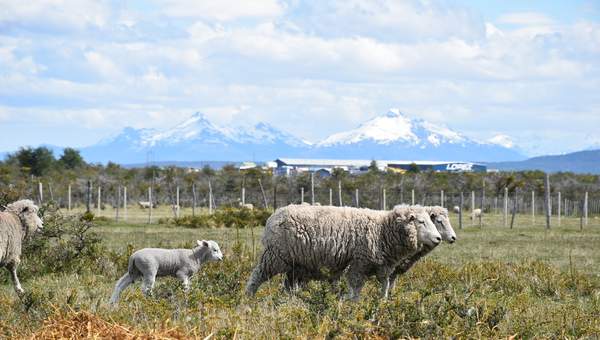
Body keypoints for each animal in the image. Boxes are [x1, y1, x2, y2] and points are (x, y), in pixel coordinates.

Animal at [245, 203, 440, 298]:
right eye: (421, 222)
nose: (438, 238)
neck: (383, 229)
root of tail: (274, 215)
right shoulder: (358, 265)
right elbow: (355, 290)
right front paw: (352, 306)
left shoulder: (383, 267)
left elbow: (384, 288)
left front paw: (381, 305)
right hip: (275, 256)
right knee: (257, 276)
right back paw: (248, 299)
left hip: (296, 265)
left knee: (288, 287)